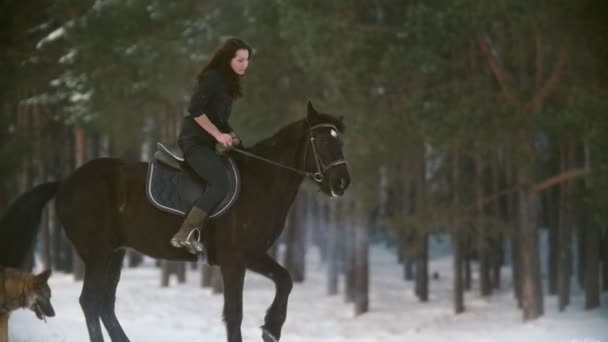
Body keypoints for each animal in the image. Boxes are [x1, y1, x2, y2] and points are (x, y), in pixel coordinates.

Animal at [0, 102, 352, 342]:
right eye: (322, 141)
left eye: (340, 141)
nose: (342, 183)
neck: (261, 182)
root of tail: (65, 182)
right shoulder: (237, 259)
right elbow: (238, 311)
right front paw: (271, 326)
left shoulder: (250, 257)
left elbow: (284, 280)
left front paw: (272, 327)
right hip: (98, 253)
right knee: (89, 302)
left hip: (115, 253)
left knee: (104, 304)